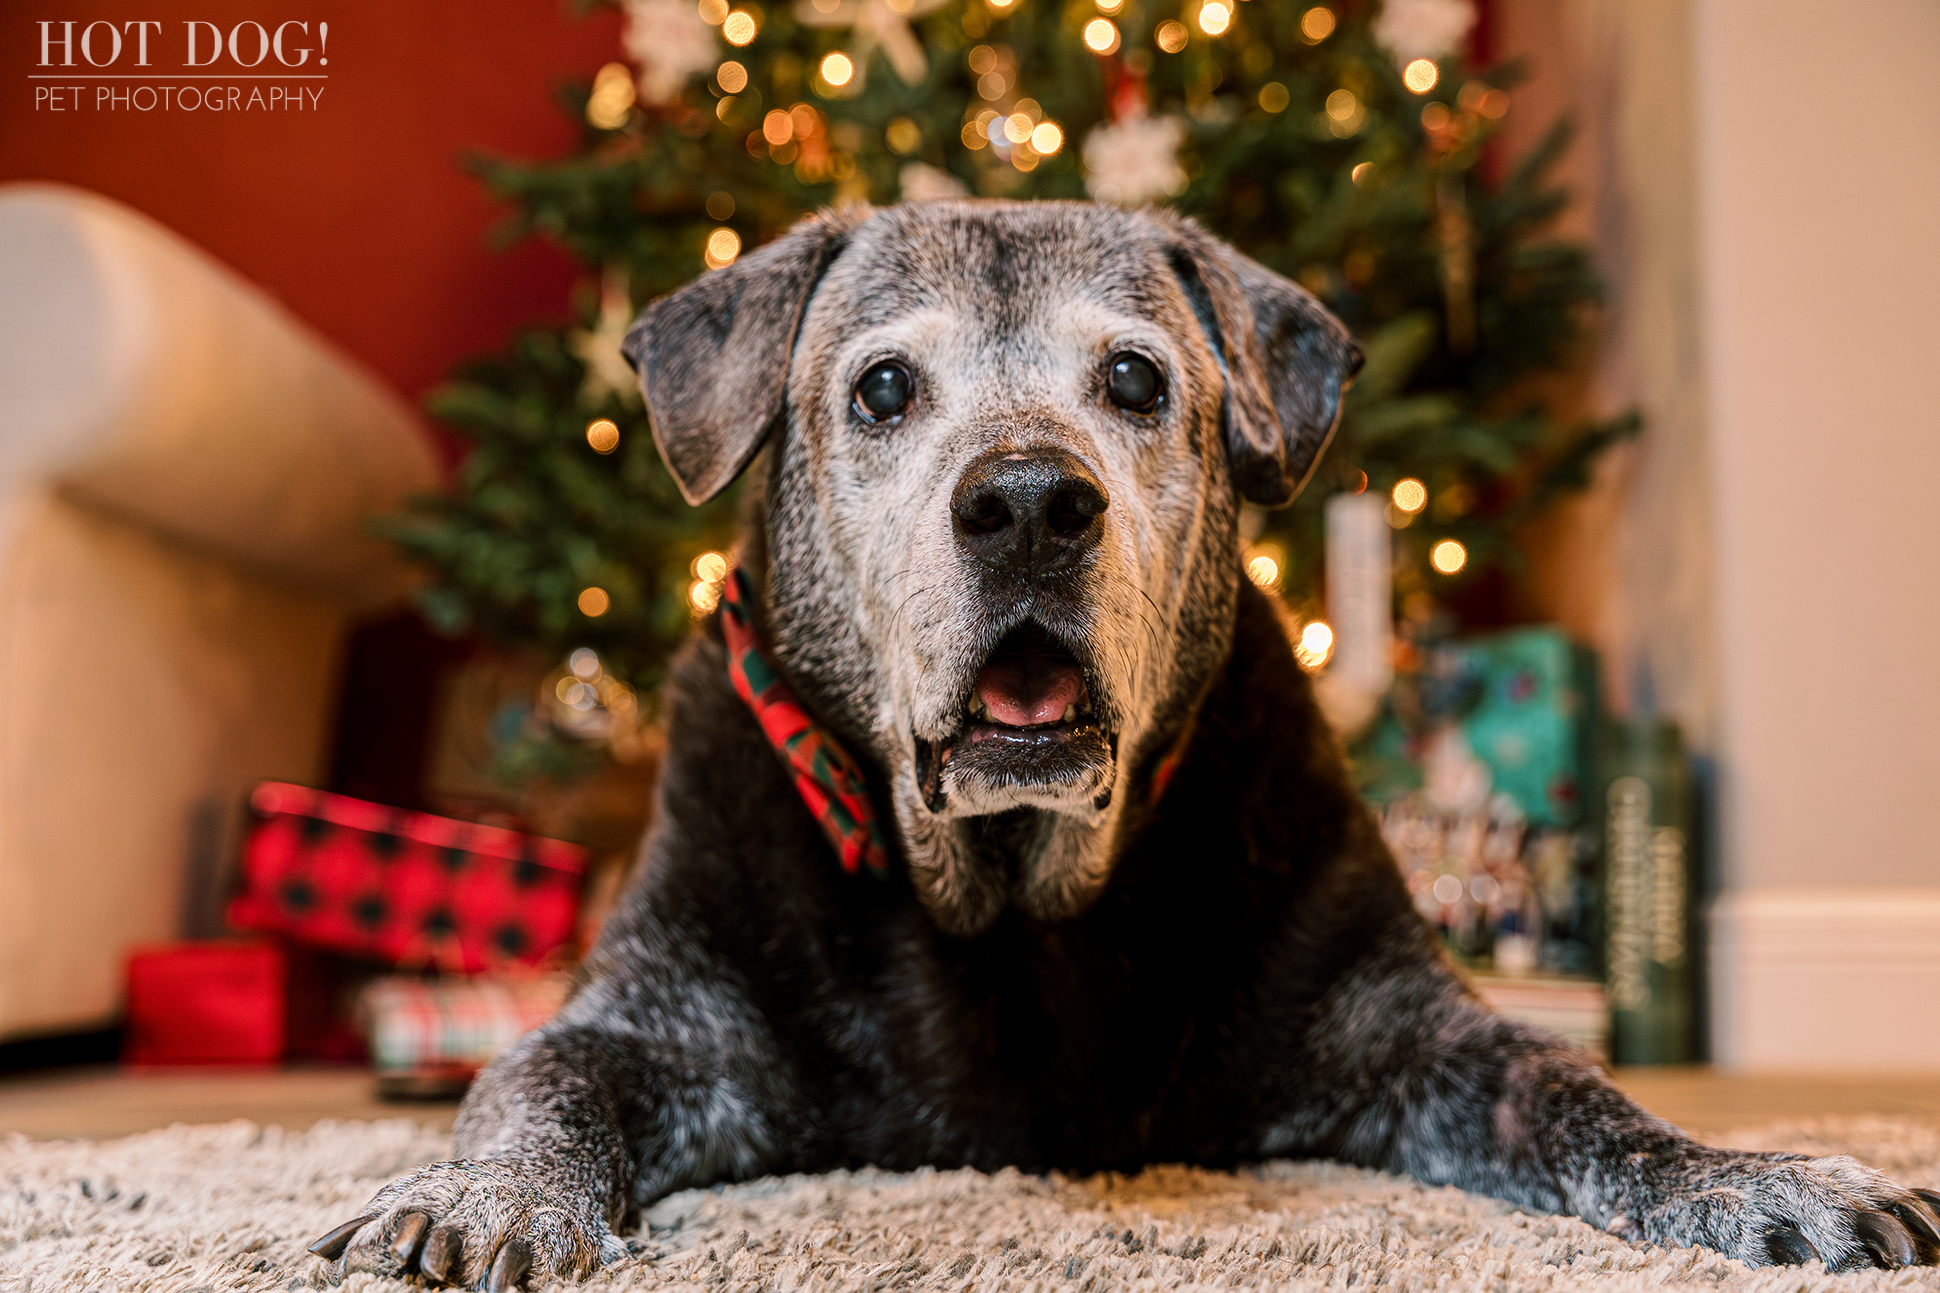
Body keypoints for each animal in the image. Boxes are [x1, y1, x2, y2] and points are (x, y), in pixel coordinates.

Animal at [310, 198, 1940, 1281]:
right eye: (883, 387)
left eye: (1137, 380)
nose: (1029, 500)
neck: (1013, 894)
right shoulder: (650, 1021)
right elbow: (538, 1093)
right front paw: (487, 1206)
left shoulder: (1412, 1033)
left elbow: (1585, 1099)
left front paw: (1761, 1175)